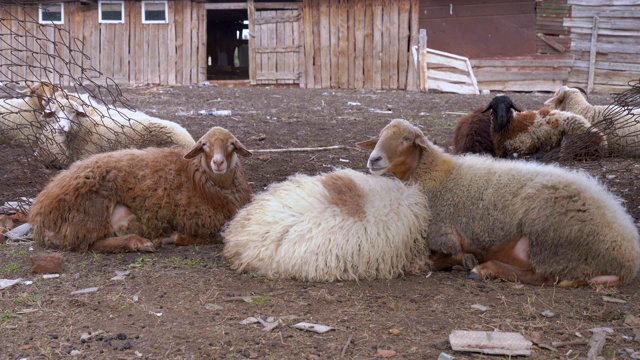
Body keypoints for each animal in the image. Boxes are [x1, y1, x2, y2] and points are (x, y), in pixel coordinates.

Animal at [28, 126, 252, 253]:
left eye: (232, 144)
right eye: (204, 145)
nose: (218, 162)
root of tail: (38, 212)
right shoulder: (198, 222)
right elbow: (214, 237)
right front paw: (172, 238)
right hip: (90, 211)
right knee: (88, 244)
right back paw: (138, 242)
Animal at [358, 119, 640, 288]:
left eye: (407, 139)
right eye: (380, 136)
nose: (374, 159)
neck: (434, 176)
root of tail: (627, 253)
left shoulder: (441, 235)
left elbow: (440, 257)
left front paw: (466, 261)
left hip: (550, 240)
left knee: (542, 276)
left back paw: (485, 269)